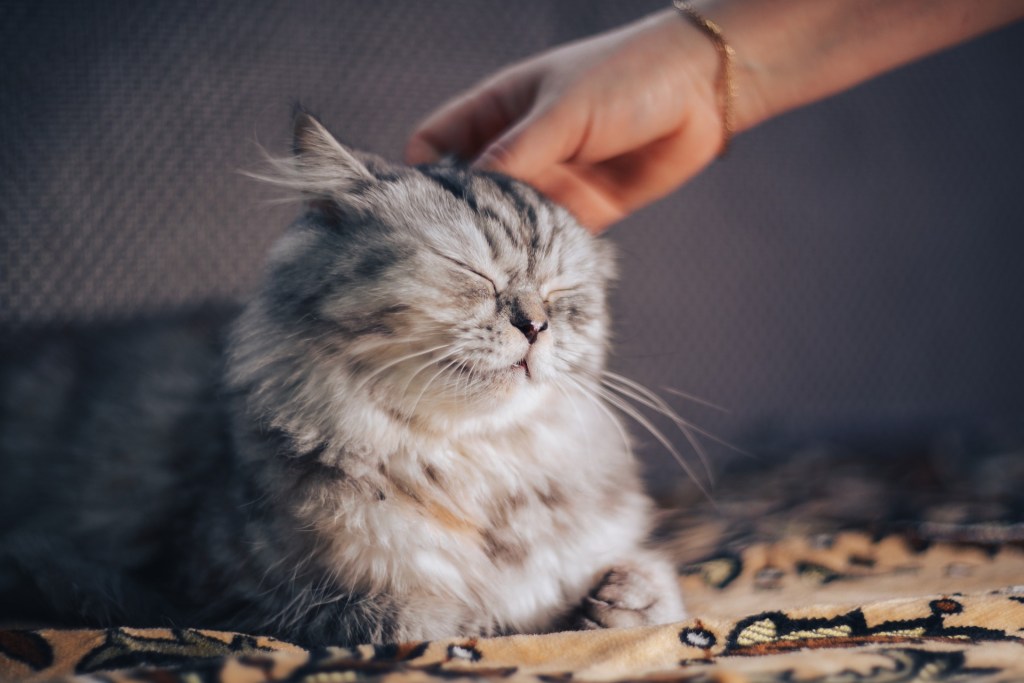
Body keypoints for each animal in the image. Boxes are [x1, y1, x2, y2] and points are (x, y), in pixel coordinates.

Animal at [2, 112, 688, 647]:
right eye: (470, 273)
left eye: (563, 294)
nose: (536, 325)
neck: (468, 469)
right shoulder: (232, 597)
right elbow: (413, 619)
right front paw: (479, 620)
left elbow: (649, 593)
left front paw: (618, 599)